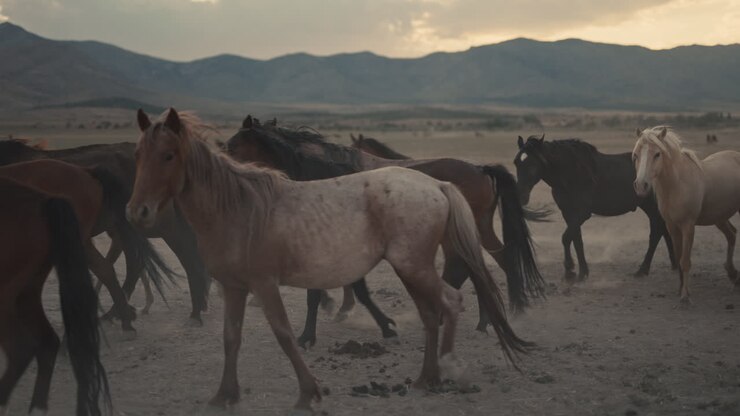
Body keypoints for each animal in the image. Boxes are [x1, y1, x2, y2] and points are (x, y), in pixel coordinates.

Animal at [226, 116, 544, 346]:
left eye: (232, 146)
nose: (226, 173)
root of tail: (481, 169)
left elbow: (330, 288)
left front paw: (312, 331)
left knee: (482, 263)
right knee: (481, 263)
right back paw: (485, 319)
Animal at [514, 134, 677, 280]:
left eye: (533, 164)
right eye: (516, 163)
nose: (520, 196)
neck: (571, 172)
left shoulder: (582, 213)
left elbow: (566, 238)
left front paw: (570, 270)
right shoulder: (568, 213)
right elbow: (577, 240)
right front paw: (582, 272)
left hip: (652, 207)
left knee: (656, 233)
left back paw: (642, 270)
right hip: (650, 207)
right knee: (663, 230)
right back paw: (673, 264)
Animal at [633, 126, 740, 304]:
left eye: (657, 154)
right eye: (636, 154)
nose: (641, 186)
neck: (677, 185)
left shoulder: (688, 226)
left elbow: (685, 260)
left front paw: (685, 297)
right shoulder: (672, 226)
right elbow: (678, 256)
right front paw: (681, 290)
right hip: (719, 217)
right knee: (731, 235)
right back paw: (733, 275)